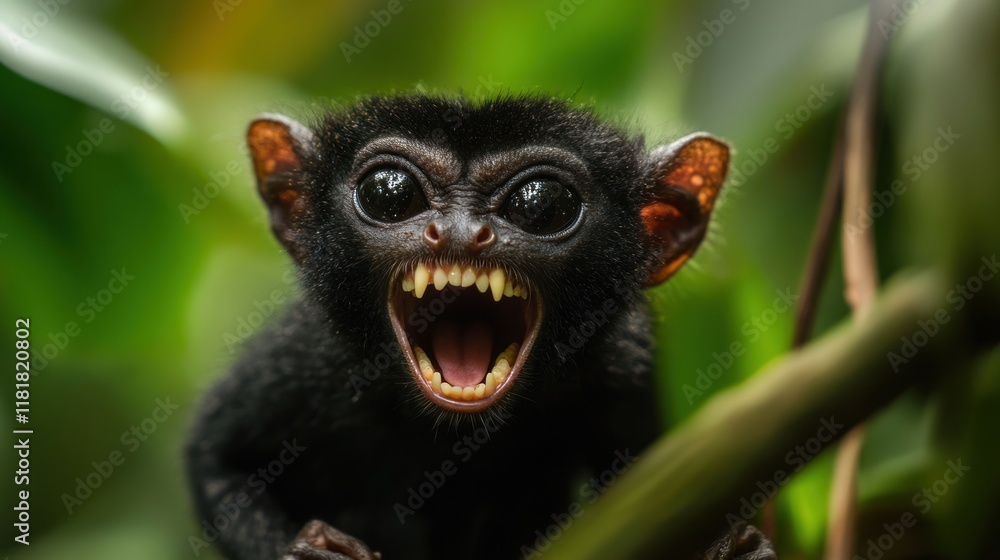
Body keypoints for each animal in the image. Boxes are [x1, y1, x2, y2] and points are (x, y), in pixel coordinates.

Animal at [184, 93, 774, 560]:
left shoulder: (626, 371)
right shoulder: (306, 359)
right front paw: (311, 552)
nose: (460, 232)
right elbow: (214, 460)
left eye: (543, 204)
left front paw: (729, 551)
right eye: (388, 193)